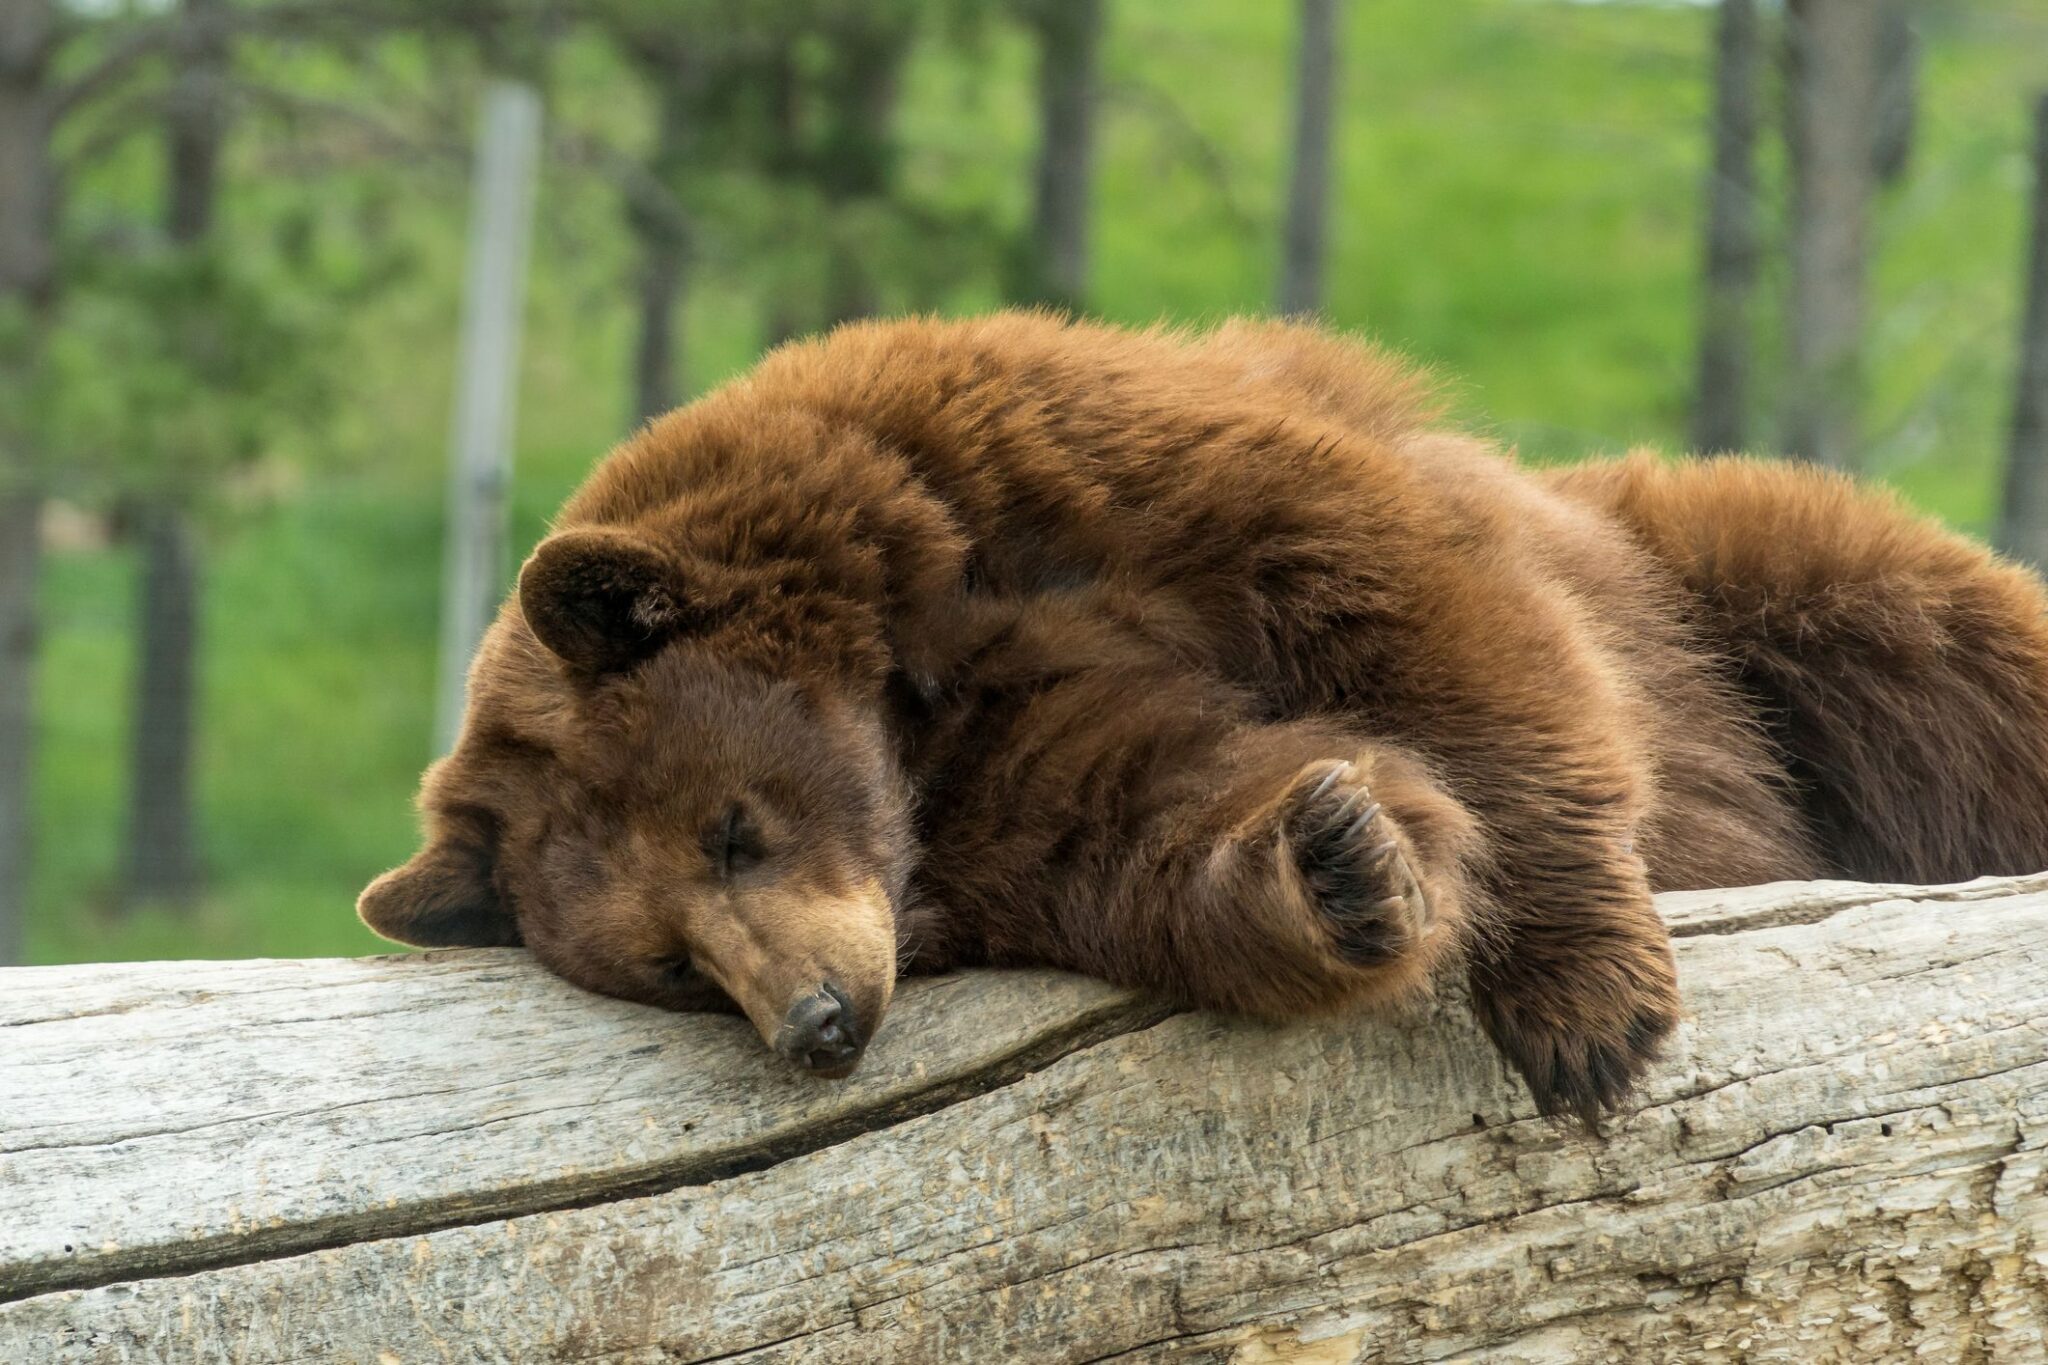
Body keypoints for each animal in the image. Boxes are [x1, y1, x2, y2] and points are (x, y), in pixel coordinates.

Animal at [360, 315, 2048, 1129]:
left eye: (731, 825)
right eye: (669, 968)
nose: (819, 1022)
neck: (915, 695)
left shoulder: (1072, 469)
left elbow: (1416, 606)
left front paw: (1585, 1014)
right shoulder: (1010, 787)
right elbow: (1162, 821)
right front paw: (1344, 859)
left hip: (1722, 585)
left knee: (1917, 631)